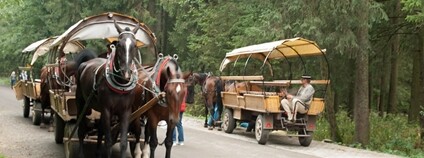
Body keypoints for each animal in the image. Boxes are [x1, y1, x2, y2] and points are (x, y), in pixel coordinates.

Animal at [73, 21, 139, 158]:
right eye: (119, 45)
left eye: (134, 45)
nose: (126, 73)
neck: (121, 86)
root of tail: (86, 63)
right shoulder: (107, 109)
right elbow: (108, 141)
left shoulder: (126, 111)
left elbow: (123, 141)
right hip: (81, 103)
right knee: (81, 129)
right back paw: (81, 153)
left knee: (99, 130)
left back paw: (98, 152)